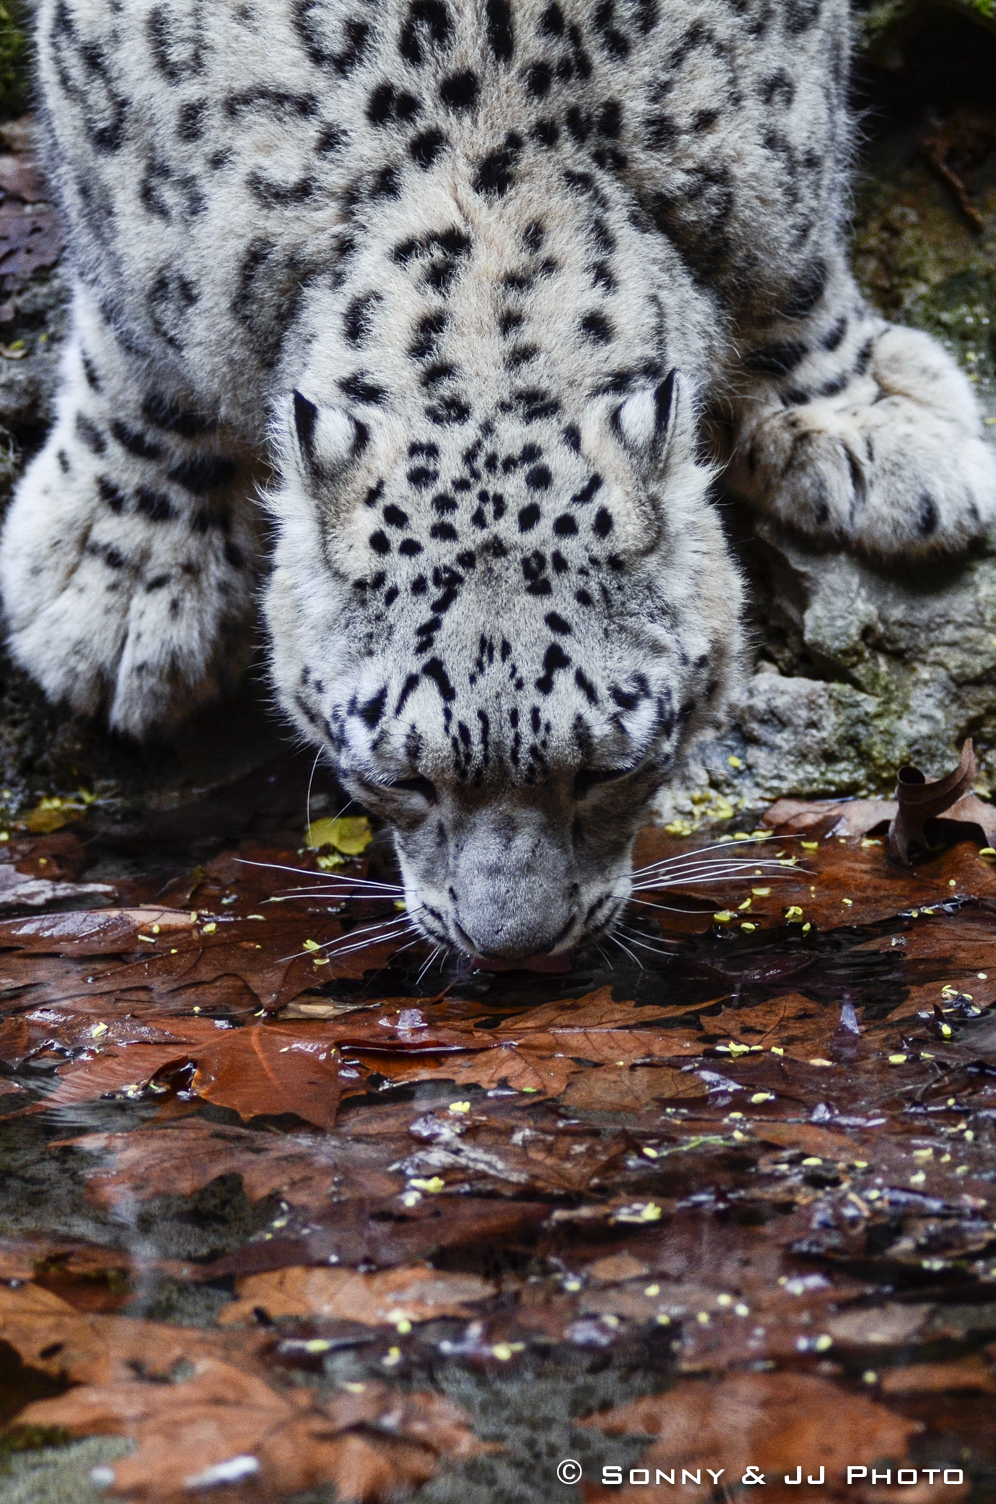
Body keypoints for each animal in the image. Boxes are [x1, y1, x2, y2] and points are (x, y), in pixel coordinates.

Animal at [1, 0, 994, 964]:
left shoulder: (777, 151)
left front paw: (872, 424)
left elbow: (794, 275)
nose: (512, 946)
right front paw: (122, 580)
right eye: (403, 778)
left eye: (607, 769)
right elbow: (142, 358)